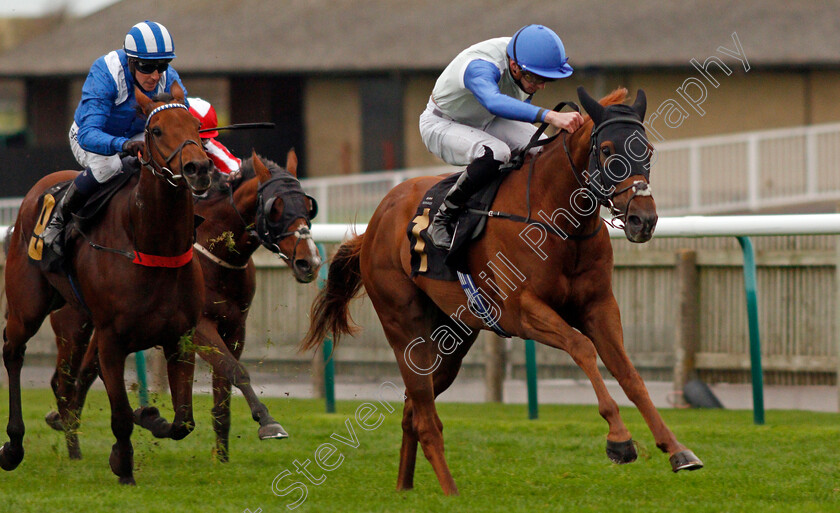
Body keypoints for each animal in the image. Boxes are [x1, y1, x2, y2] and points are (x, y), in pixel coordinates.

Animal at [2, 85, 213, 484]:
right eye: (156, 130)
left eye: (197, 126)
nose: (199, 168)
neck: (149, 246)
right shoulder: (112, 340)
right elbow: (120, 416)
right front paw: (124, 465)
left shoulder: (180, 337)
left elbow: (184, 421)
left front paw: (151, 416)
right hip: (27, 307)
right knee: (13, 353)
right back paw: (13, 446)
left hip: (77, 320)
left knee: (63, 379)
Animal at [44, 148, 324, 460]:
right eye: (275, 207)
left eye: (307, 206)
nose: (309, 262)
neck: (217, 254)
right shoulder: (198, 326)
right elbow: (235, 370)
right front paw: (267, 422)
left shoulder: (235, 327)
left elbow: (224, 391)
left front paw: (222, 459)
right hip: (73, 326)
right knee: (66, 379)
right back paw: (74, 448)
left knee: (89, 371)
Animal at [302, 86, 704, 494]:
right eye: (606, 150)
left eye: (647, 150)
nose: (643, 219)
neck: (557, 219)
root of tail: (377, 219)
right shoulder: (522, 311)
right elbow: (582, 348)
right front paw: (619, 440)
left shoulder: (599, 306)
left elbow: (629, 373)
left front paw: (677, 449)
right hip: (403, 326)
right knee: (425, 416)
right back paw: (450, 493)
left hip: (451, 340)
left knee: (412, 409)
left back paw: (405, 488)